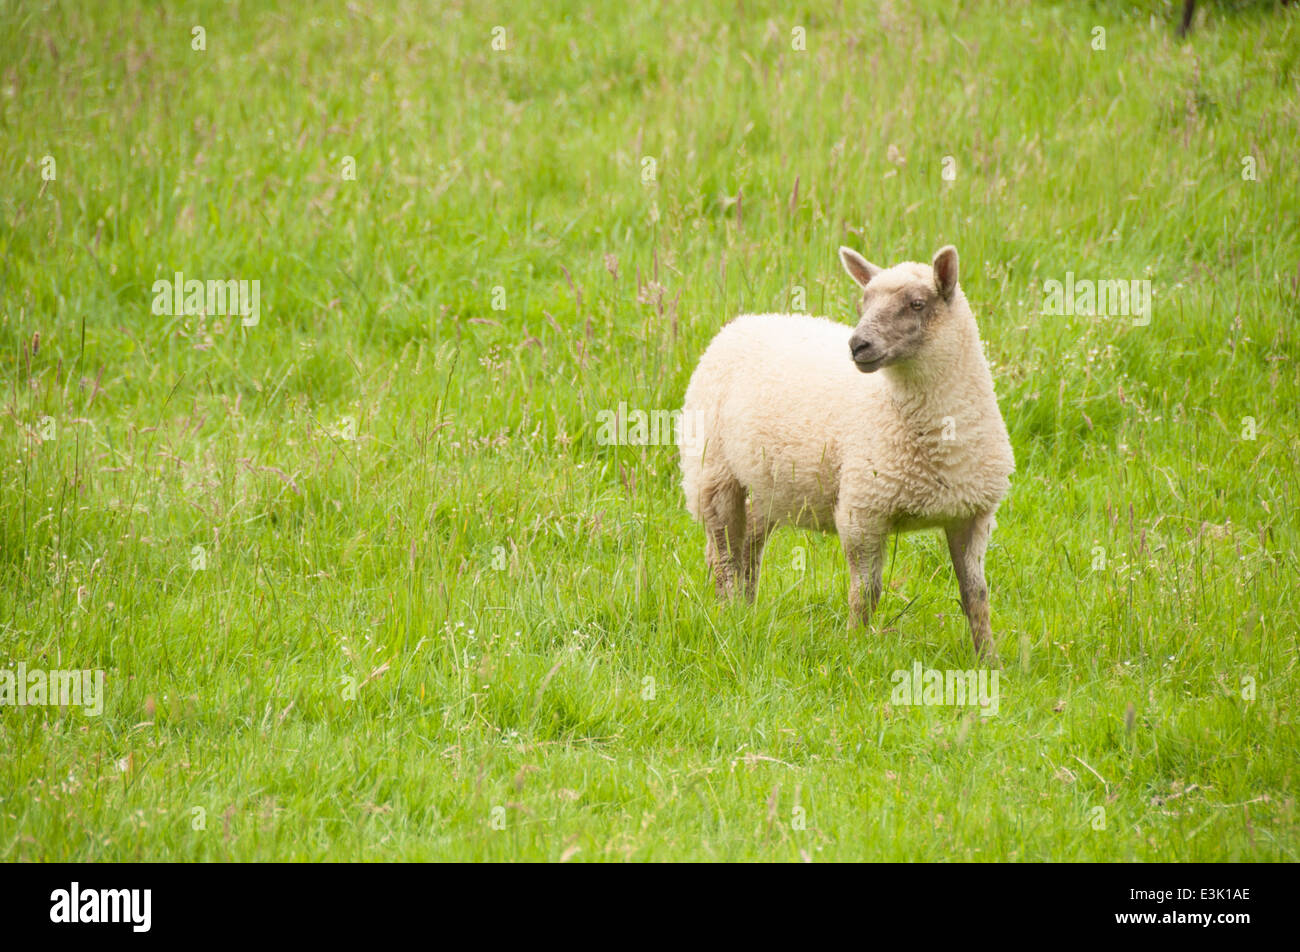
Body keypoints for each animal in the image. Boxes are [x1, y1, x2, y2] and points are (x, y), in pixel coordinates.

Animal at [678, 244, 1014, 660]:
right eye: (863, 302)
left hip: (770, 482)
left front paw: (989, 658)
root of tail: (744, 322)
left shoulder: (973, 516)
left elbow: (976, 594)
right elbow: (865, 592)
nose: (857, 345)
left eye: (917, 304)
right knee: (723, 552)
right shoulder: (863, 510)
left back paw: (747, 607)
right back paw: (727, 613)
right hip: (712, 472)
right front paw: (856, 646)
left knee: (750, 541)